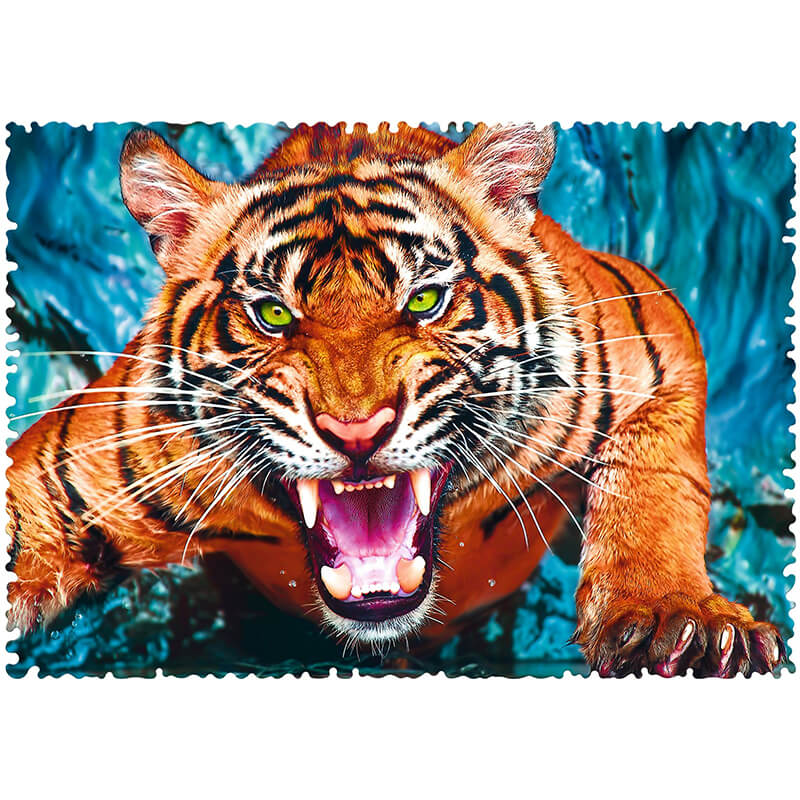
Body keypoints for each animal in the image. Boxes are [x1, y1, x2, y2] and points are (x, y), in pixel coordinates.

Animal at [6, 121, 786, 677]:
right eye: (274, 315)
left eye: (424, 300)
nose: (357, 431)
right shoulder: (68, 471)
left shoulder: (654, 336)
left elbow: (652, 479)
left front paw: (673, 617)